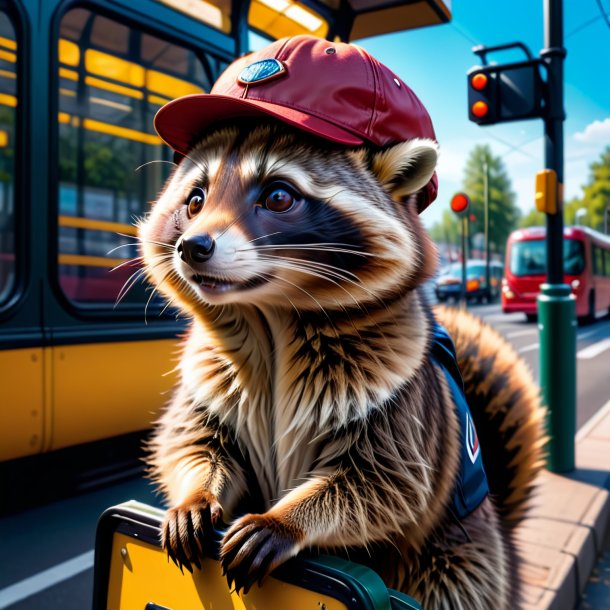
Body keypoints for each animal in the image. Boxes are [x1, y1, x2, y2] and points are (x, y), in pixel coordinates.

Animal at [140, 120, 544, 608]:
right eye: (195, 200)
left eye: (279, 196)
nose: (191, 247)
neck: (268, 316)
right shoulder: (207, 376)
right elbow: (191, 442)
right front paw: (195, 492)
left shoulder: (400, 399)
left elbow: (383, 483)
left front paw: (288, 519)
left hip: (456, 556)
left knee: (452, 580)